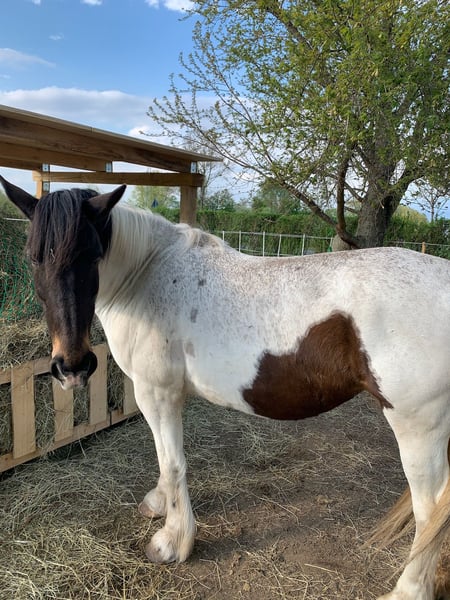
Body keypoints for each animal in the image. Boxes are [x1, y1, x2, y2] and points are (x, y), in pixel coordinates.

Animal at [0, 175, 450, 600]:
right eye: (34, 257)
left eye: (93, 255)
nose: (72, 366)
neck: (147, 276)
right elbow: (164, 460)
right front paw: (158, 503)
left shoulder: (157, 393)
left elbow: (173, 462)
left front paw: (172, 542)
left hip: (417, 428)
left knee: (429, 512)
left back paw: (408, 590)